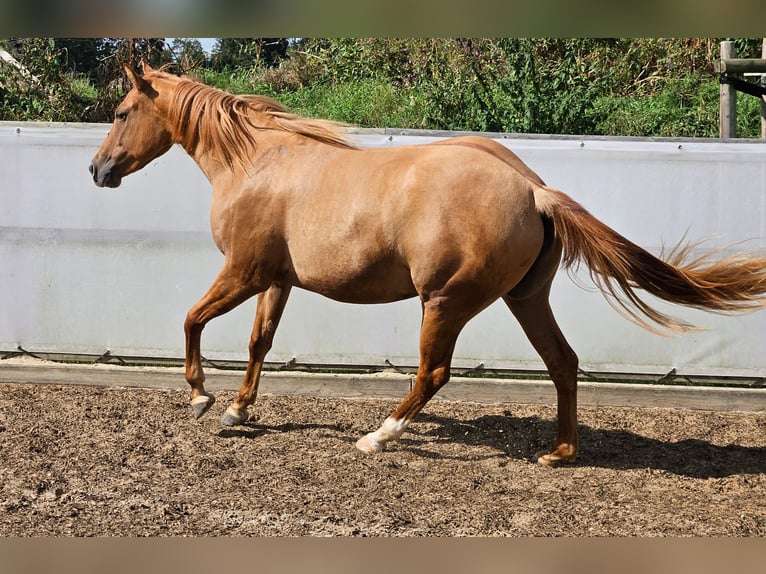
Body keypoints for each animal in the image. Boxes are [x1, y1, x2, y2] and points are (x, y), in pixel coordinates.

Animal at [88, 64, 766, 468]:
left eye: (120, 113)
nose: (97, 171)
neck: (257, 162)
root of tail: (533, 189)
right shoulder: (276, 281)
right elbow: (260, 342)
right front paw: (237, 410)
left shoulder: (244, 272)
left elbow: (191, 320)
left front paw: (201, 396)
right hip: (525, 299)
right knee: (563, 363)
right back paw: (559, 453)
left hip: (445, 302)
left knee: (433, 373)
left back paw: (378, 435)